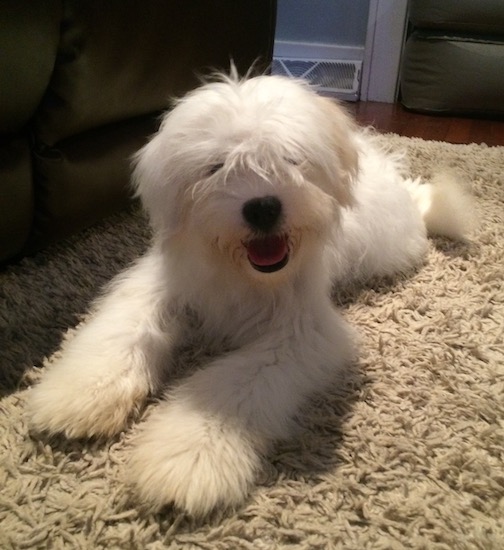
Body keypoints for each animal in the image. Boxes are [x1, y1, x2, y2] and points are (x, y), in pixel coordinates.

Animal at [27, 72, 470, 516]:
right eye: (216, 167)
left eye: (290, 159)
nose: (262, 208)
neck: (243, 275)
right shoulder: (160, 284)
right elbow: (125, 329)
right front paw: (81, 396)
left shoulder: (301, 331)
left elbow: (237, 382)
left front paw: (185, 461)